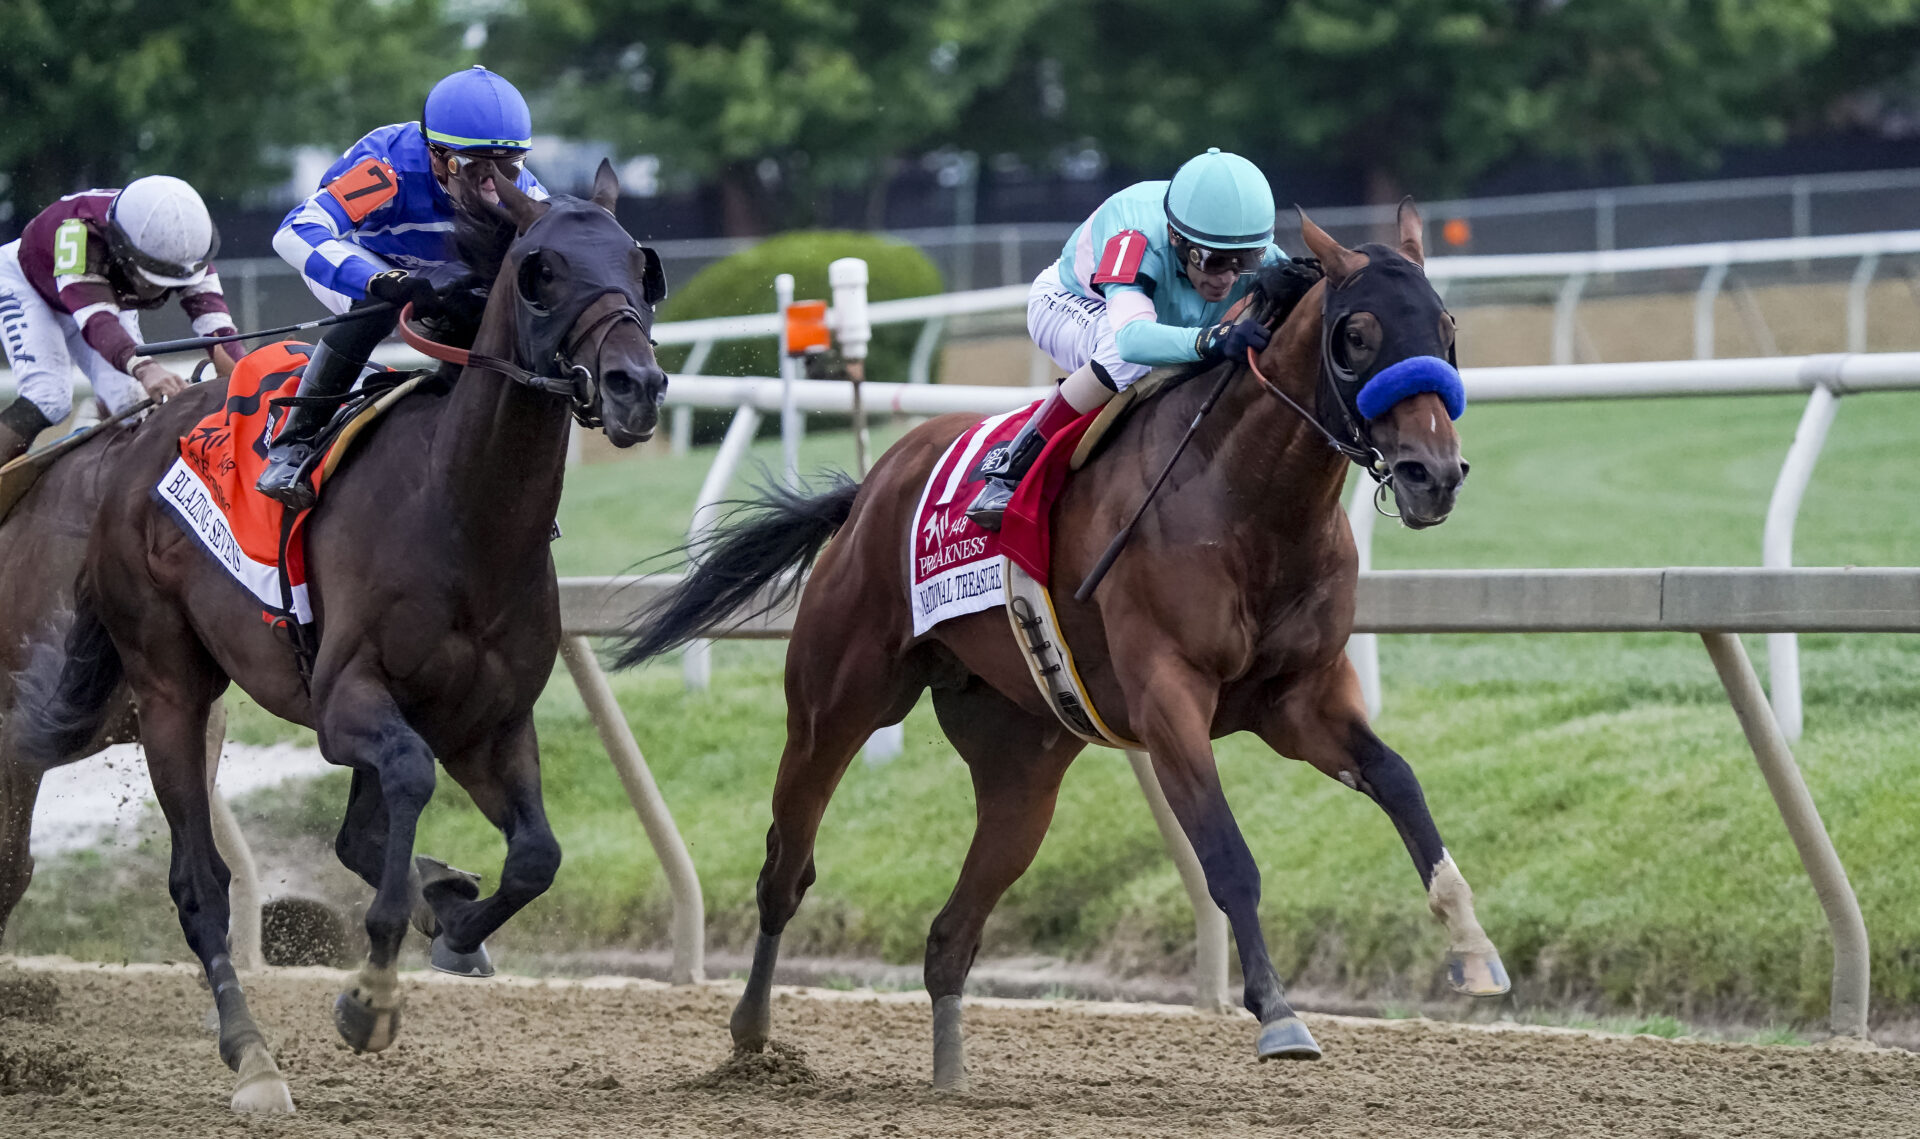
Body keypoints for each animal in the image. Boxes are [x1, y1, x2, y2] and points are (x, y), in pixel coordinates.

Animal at [5, 159, 668, 1114]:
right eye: (541, 270)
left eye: (638, 265)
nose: (635, 387)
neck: (460, 512)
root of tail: (127, 449)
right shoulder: (347, 700)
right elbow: (407, 784)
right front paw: (372, 994)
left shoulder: (490, 720)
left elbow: (535, 855)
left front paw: (453, 923)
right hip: (168, 686)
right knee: (199, 884)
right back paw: (252, 1057)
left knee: (358, 836)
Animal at [622, 201, 1505, 1083]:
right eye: (1357, 334)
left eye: (1446, 326)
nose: (1433, 475)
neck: (1253, 506)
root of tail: (869, 490)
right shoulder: (1169, 697)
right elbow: (1228, 857)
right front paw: (1279, 1013)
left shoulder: (1300, 698)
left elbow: (1400, 780)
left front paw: (1474, 949)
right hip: (835, 702)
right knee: (786, 866)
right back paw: (752, 1031)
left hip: (1023, 763)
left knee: (951, 934)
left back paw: (949, 1076)